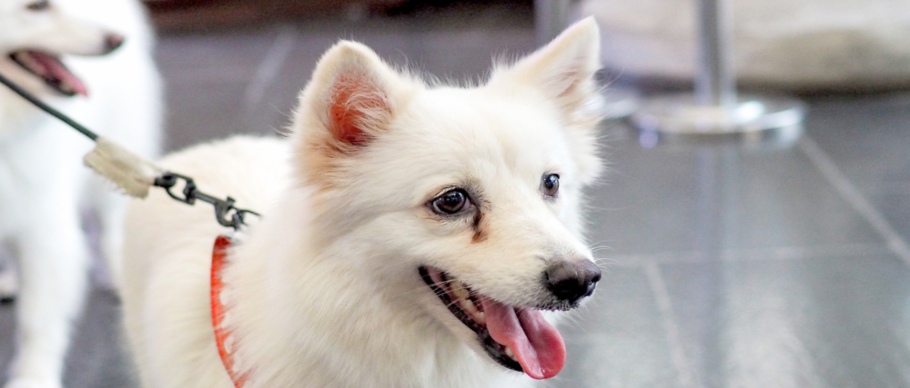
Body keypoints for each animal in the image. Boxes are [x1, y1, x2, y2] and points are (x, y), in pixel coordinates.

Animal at [0, 1, 161, 386]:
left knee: (112, 228)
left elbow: (37, 319)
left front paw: (33, 378)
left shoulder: (44, 228)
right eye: (37, 7)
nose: (116, 40)